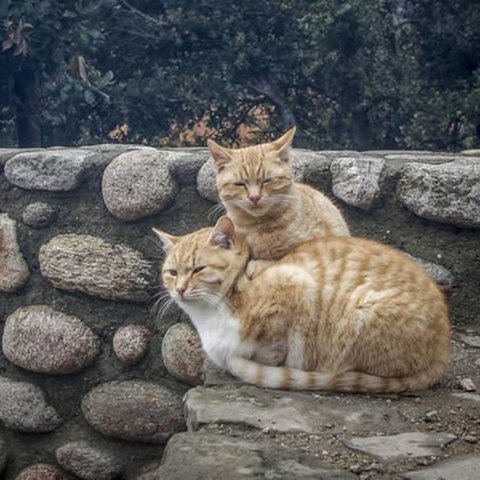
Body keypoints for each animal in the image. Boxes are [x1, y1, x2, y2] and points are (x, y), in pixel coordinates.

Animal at [154, 218, 450, 394]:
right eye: (172, 272)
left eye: (198, 269)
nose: (179, 289)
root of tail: (442, 352)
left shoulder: (294, 283)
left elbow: (272, 346)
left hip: (359, 312)